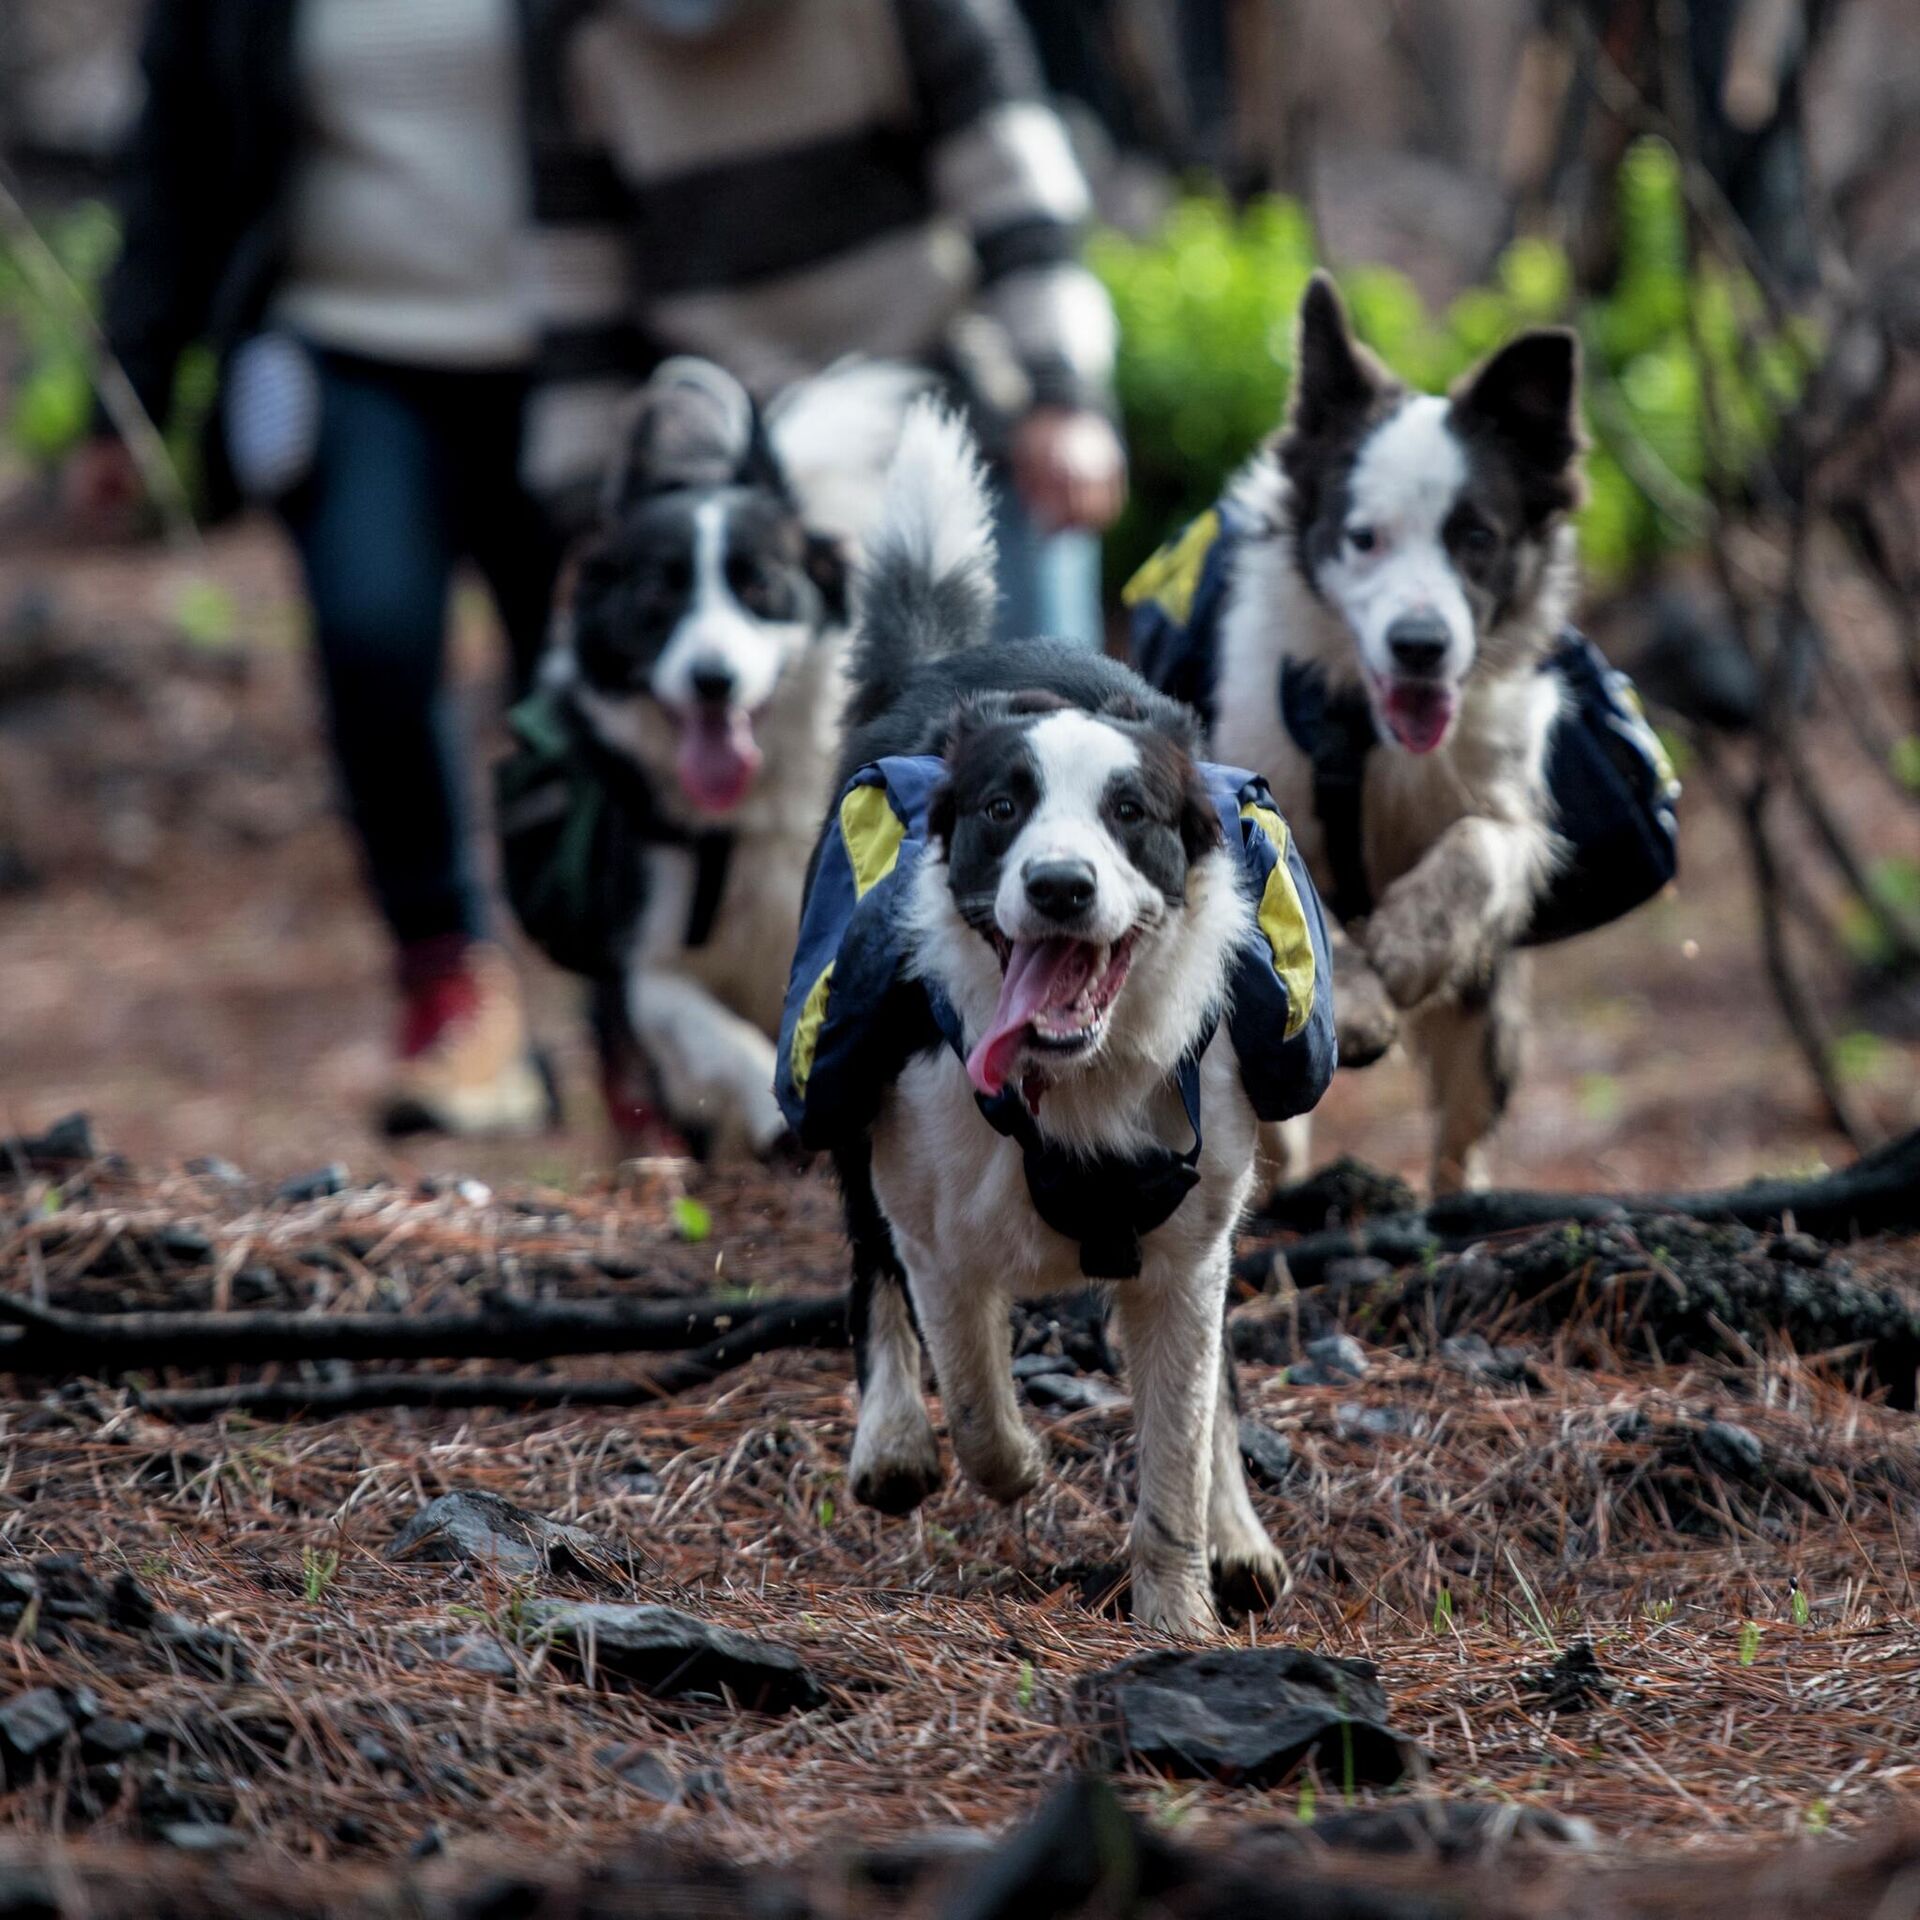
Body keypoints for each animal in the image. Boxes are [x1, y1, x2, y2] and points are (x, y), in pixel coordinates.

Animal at [775, 405, 1336, 1635]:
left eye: (1131, 814)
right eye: (1002, 808)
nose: (1062, 887)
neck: (1072, 1080)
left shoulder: (1188, 1253)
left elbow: (1181, 1435)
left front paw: (1182, 1614)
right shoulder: (932, 1220)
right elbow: (974, 1388)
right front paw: (1010, 1462)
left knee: (1215, 1391)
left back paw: (1239, 1536)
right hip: (841, 1074)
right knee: (869, 1268)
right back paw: (894, 1441)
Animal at [1128, 276, 1674, 1190]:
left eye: (1477, 537)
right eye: (1363, 538)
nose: (1421, 646)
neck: (1371, 736)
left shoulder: (1510, 804)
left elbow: (1478, 852)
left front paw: (1401, 957)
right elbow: (1292, 902)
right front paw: (1361, 997)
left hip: (1489, 1023)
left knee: (1462, 1129)